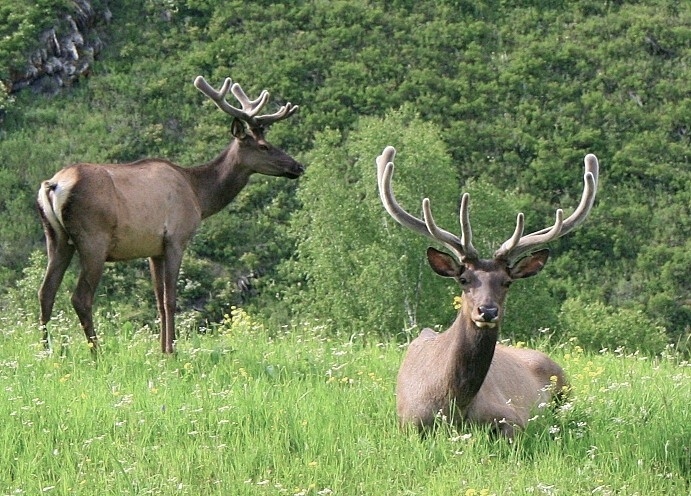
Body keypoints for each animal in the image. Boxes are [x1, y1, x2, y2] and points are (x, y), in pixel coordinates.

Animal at [37, 75, 302, 352]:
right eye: (264, 146)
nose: (298, 166)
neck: (199, 195)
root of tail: (53, 185)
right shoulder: (176, 238)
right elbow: (171, 300)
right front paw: (172, 351)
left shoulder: (154, 250)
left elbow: (159, 301)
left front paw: (162, 350)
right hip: (93, 239)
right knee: (80, 297)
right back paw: (96, 353)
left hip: (56, 238)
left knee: (45, 292)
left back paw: (47, 352)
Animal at [376, 146, 596, 438]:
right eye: (464, 279)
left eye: (507, 281)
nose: (488, 311)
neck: (454, 407)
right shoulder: (408, 422)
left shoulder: (512, 417)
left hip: (566, 387)